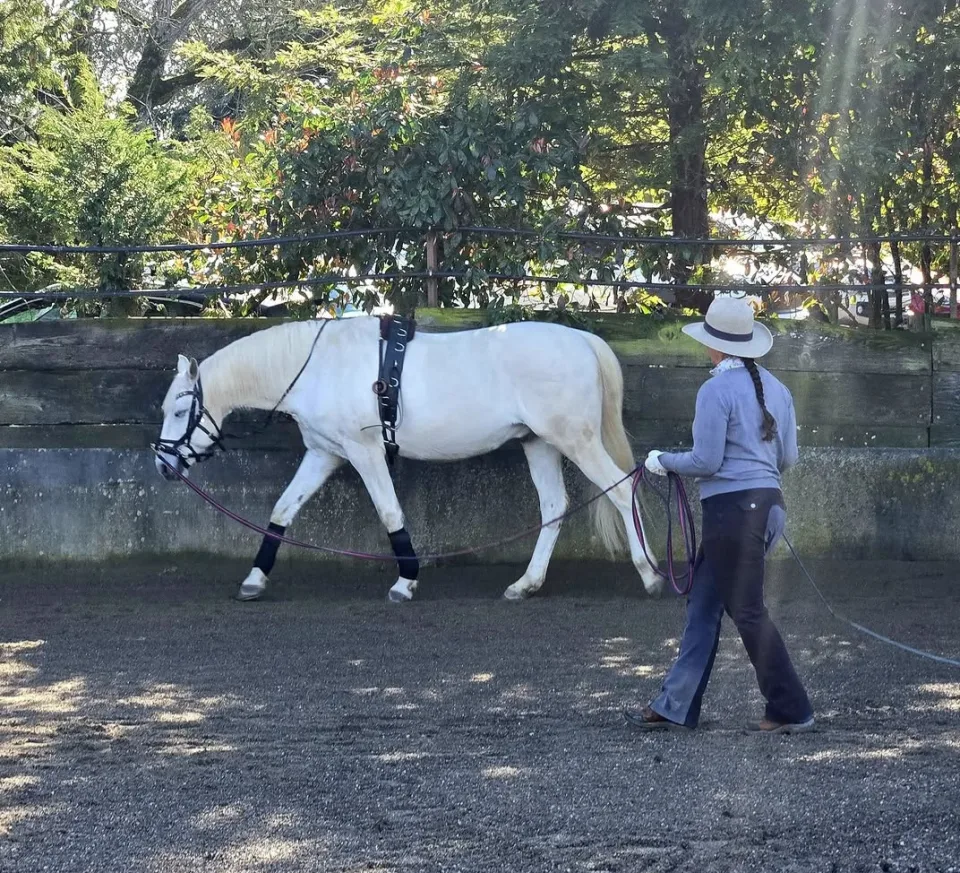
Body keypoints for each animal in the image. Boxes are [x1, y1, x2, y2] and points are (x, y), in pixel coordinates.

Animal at [153, 315, 662, 602]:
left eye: (179, 411)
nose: (162, 465)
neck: (317, 367)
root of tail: (582, 339)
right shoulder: (323, 454)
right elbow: (282, 510)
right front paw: (255, 579)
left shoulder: (364, 452)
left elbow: (390, 512)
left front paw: (405, 581)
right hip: (539, 443)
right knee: (554, 507)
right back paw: (526, 584)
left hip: (576, 440)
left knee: (622, 491)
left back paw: (650, 575)